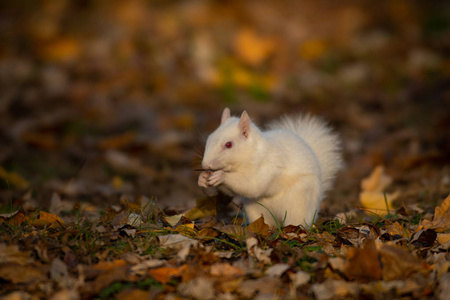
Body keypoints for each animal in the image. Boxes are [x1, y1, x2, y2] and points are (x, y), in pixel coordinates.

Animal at [197, 108, 342, 227]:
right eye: (209, 138)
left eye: (228, 145)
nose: (205, 165)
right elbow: (232, 191)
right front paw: (202, 178)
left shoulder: (267, 168)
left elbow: (252, 185)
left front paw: (221, 176)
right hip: (255, 209)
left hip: (298, 205)